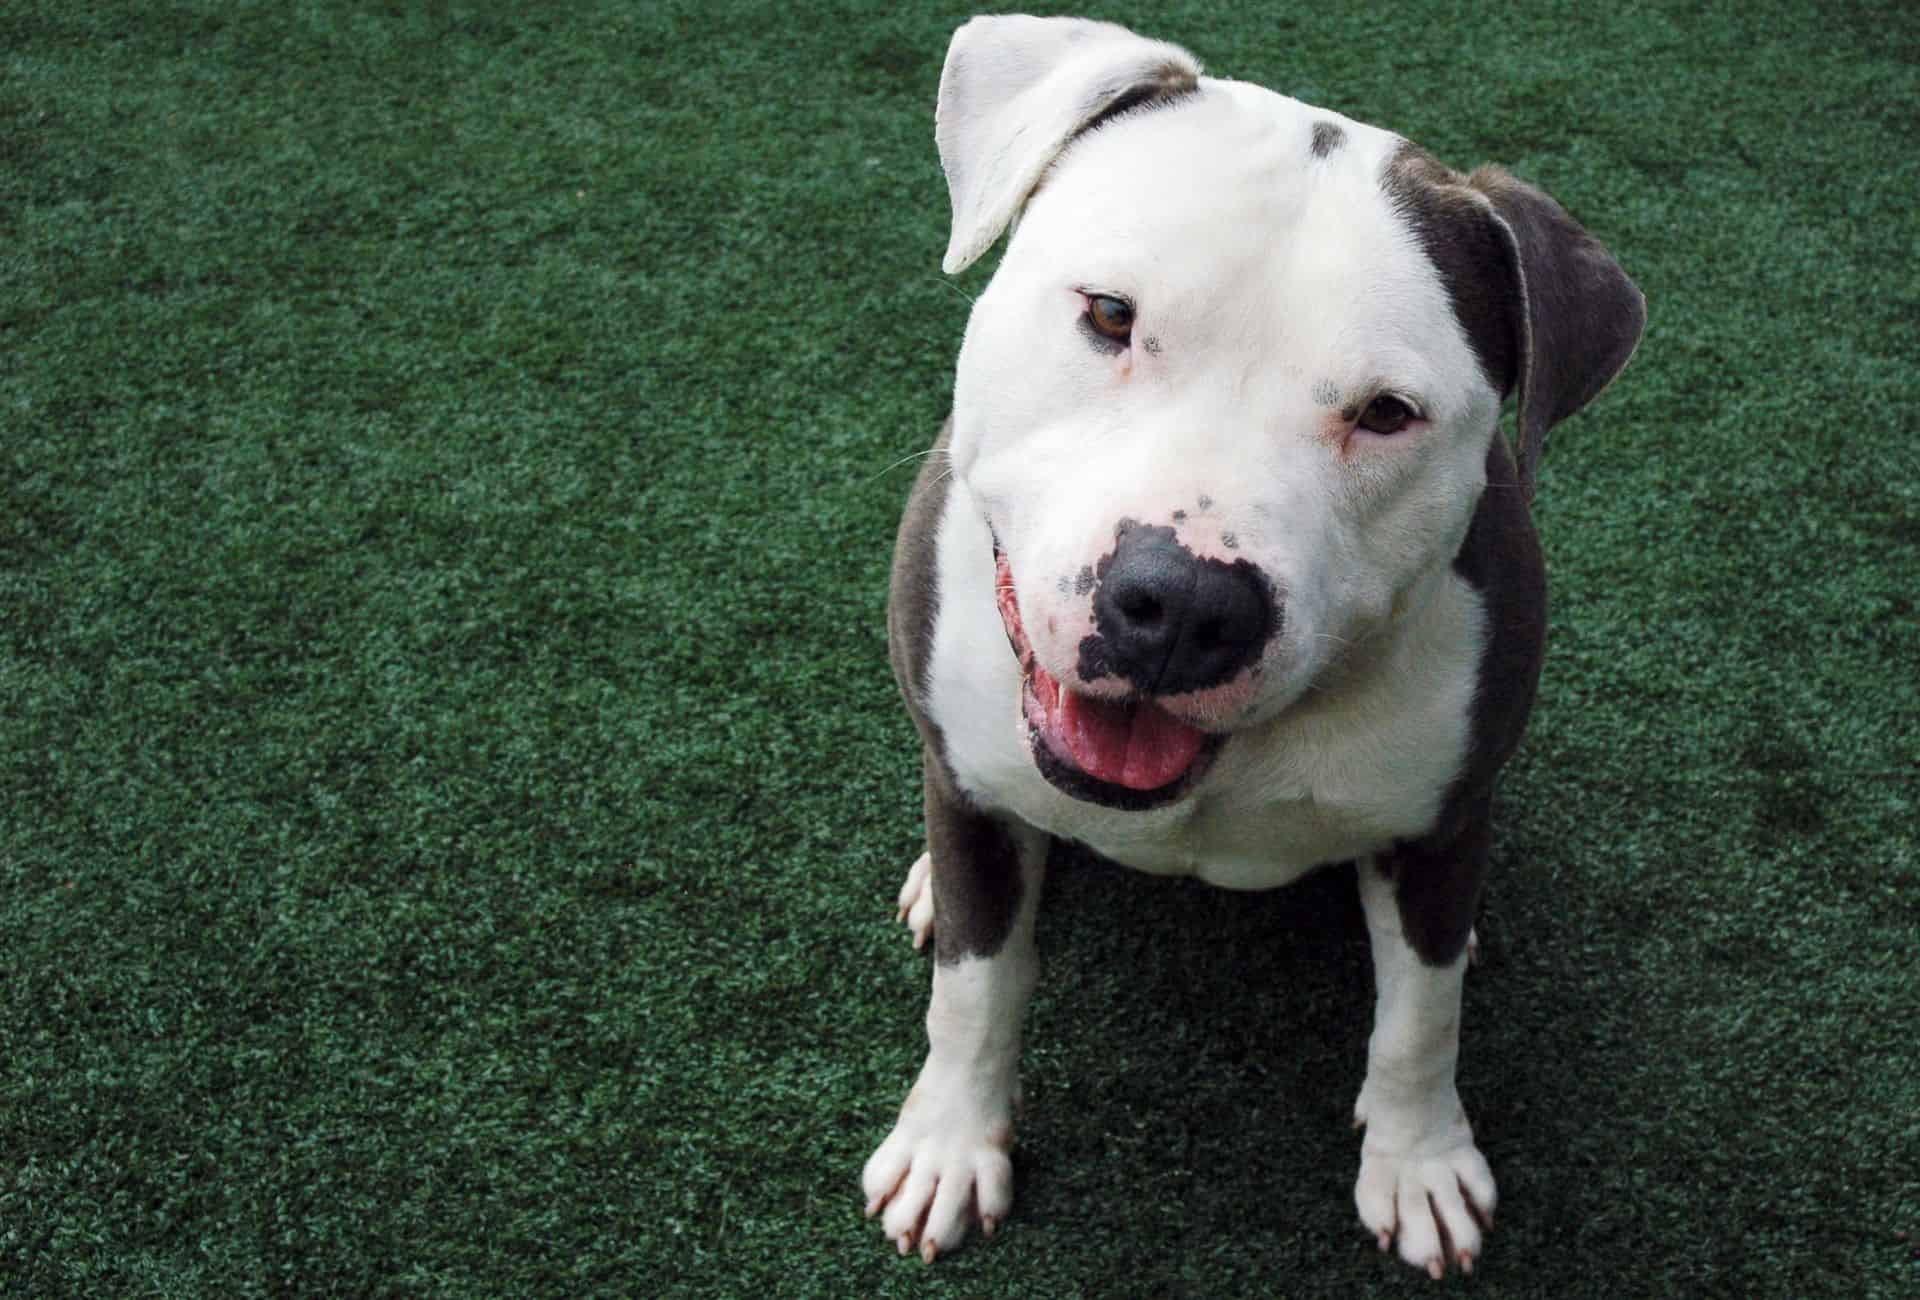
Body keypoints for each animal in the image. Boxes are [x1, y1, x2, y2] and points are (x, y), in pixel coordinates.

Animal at [864, 17, 1643, 1275]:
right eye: (1110, 316)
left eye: (1387, 413)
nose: (1182, 602)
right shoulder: (977, 796)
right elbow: (976, 990)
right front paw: (949, 1142)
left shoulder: (1441, 823)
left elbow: (1423, 1015)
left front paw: (1420, 1161)